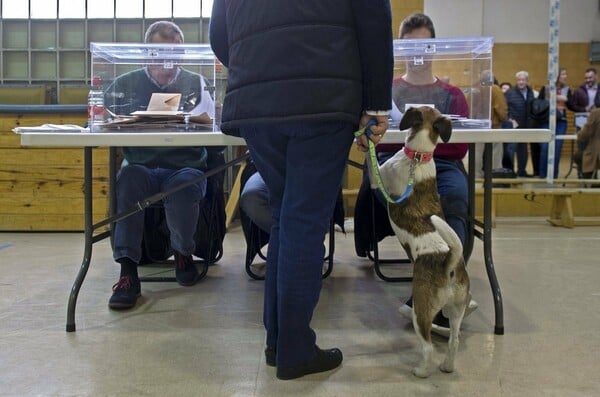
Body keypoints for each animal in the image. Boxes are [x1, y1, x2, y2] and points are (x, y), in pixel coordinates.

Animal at [368, 106, 472, 378]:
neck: (419, 157)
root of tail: (450, 264)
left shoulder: (378, 176)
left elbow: (370, 166)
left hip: (421, 311)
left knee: (427, 347)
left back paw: (421, 371)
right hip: (456, 309)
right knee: (454, 341)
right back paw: (447, 366)